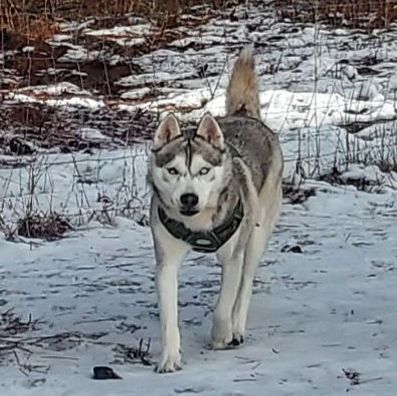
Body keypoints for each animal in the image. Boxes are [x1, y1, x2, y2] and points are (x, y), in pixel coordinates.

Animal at [148, 47, 282, 374]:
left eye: (203, 170)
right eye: (173, 170)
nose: (188, 198)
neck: (198, 226)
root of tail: (244, 114)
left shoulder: (232, 255)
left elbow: (224, 303)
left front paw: (221, 334)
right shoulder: (166, 262)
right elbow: (168, 318)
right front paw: (169, 358)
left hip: (257, 234)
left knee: (245, 285)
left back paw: (237, 327)